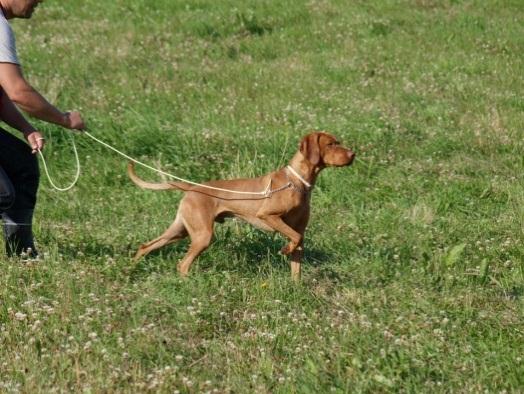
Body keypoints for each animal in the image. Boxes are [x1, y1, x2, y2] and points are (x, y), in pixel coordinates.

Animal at [128, 132, 354, 280]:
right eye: (331, 144)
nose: (353, 155)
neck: (297, 181)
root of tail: (192, 188)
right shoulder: (269, 216)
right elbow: (294, 238)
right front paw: (284, 249)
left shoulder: (299, 230)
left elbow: (296, 260)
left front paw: (295, 288)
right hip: (202, 235)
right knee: (182, 264)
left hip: (180, 231)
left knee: (145, 246)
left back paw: (131, 268)